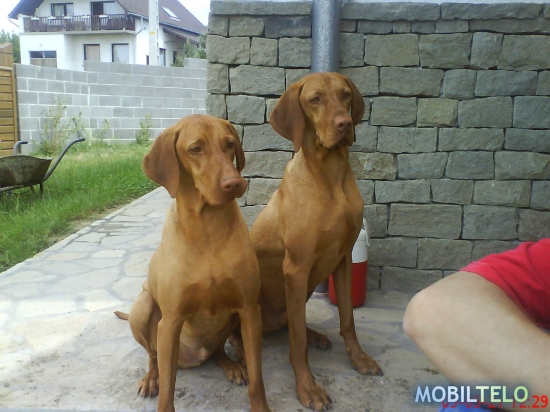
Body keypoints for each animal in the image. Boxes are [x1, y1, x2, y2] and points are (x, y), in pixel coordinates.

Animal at [115, 114, 271, 412]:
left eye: (230, 144)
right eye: (195, 149)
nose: (235, 183)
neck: (206, 227)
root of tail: (194, 357)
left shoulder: (249, 309)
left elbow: (258, 378)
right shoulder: (171, 321)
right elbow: (167, 393)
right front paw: (159, 388)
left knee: (218, 350)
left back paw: (232, 364)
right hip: (144, 307)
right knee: (154, 357)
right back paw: (151, 378)